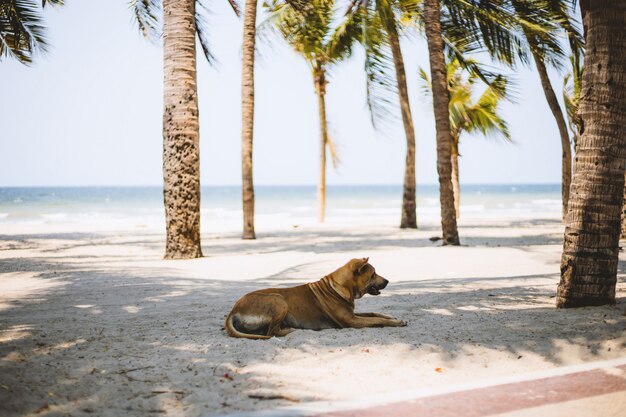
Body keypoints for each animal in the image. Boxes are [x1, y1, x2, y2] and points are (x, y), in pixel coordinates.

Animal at [224, 256, 404, 338]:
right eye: (373, 274)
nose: (387, 281)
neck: (339, 287)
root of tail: (234, 310)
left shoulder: (353, 314)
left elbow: (375, 313)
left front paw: (392, 317)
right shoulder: (352, 321)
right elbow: (376, 320)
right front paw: (396, 322)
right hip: (278, 300)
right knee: (272, 332)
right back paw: (292, 330)